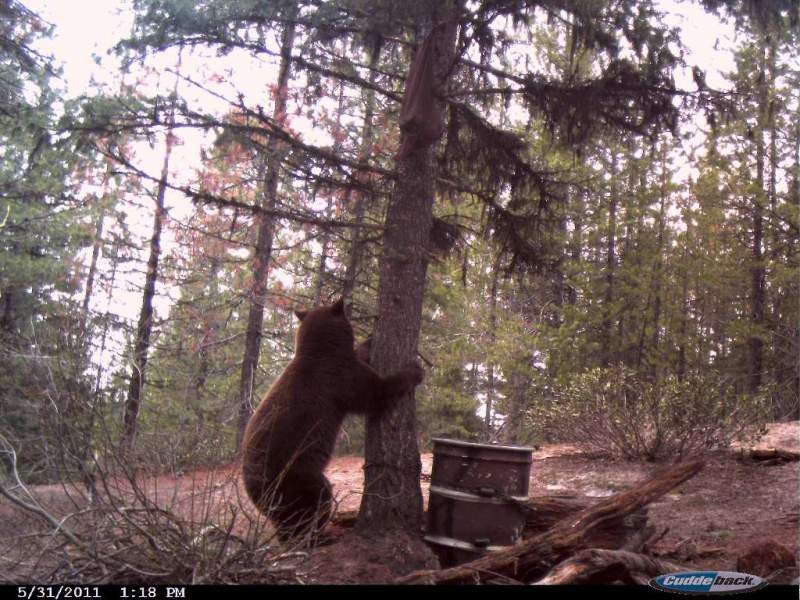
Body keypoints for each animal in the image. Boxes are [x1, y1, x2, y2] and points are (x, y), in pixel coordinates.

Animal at [241, 298, 424, 541]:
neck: (321, 349)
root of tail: (254, 493)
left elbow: (361, 358)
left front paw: (370, 340)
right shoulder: (338, 380)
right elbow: (377, 393)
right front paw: (414, 370)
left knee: (286, 521)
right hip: (296, 476)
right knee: (316, 501)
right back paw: (317, 536)